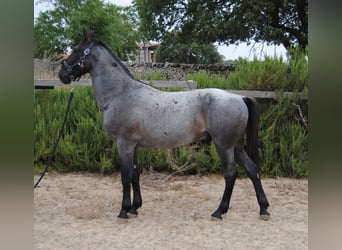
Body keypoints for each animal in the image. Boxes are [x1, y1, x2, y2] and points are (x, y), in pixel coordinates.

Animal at [60, 30, 272, 220]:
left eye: (77, 50)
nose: (62, 73)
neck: (120, 94)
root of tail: (239, 98)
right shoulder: (133, 146)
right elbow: (135, 174)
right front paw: (135, 208)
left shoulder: (124, 144)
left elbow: (125, 176)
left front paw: (123, 211)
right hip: (236, 145)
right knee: (252, 169)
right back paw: (263, 209)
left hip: (224, 145)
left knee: (230, 174)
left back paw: (219, 211)